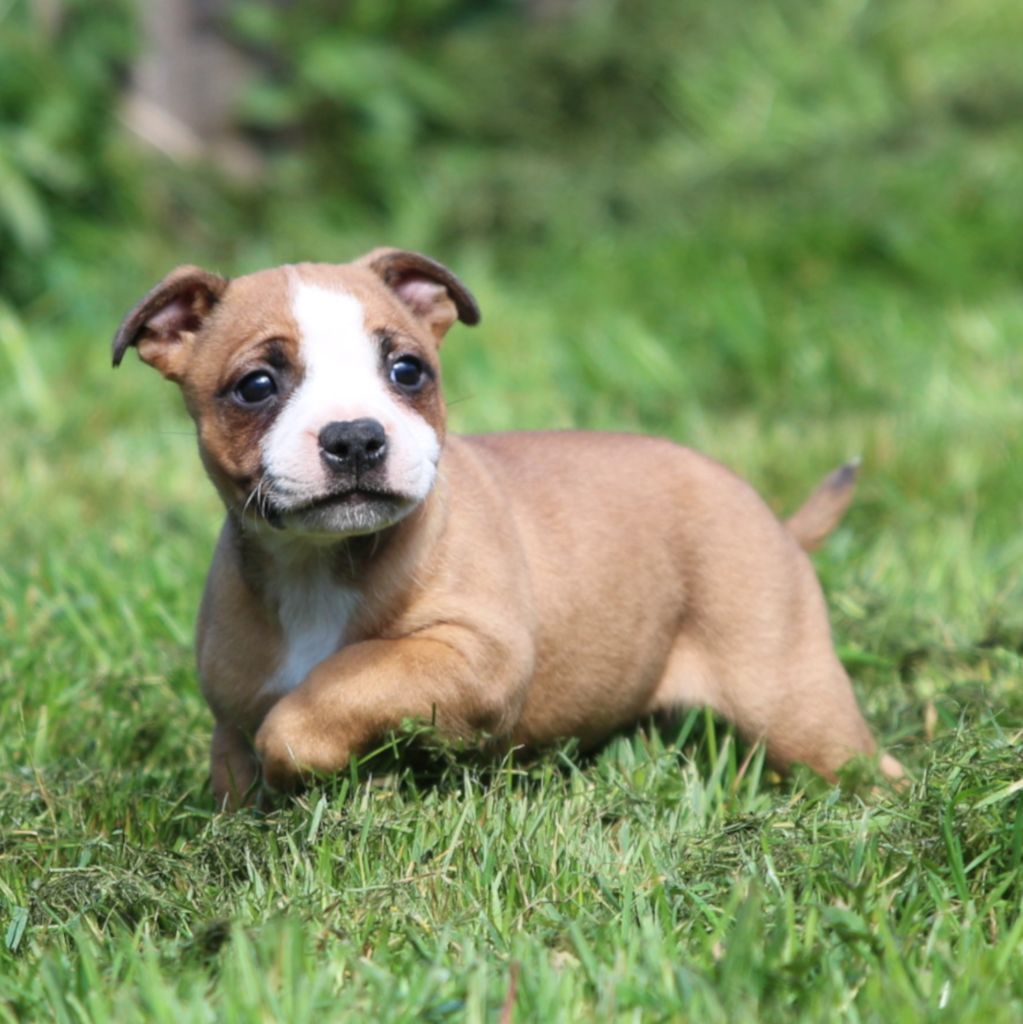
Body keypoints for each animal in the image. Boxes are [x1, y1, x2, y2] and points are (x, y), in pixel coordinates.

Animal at [114, 249, 905, 806]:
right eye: (256, 386)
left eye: (407, 371)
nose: (355, 437)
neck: (317, 563)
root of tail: (774, 521)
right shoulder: (229, 725)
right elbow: (245, 771)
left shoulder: (472, 660)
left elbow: (344, 678)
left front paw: (308, 757)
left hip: (790, 698)